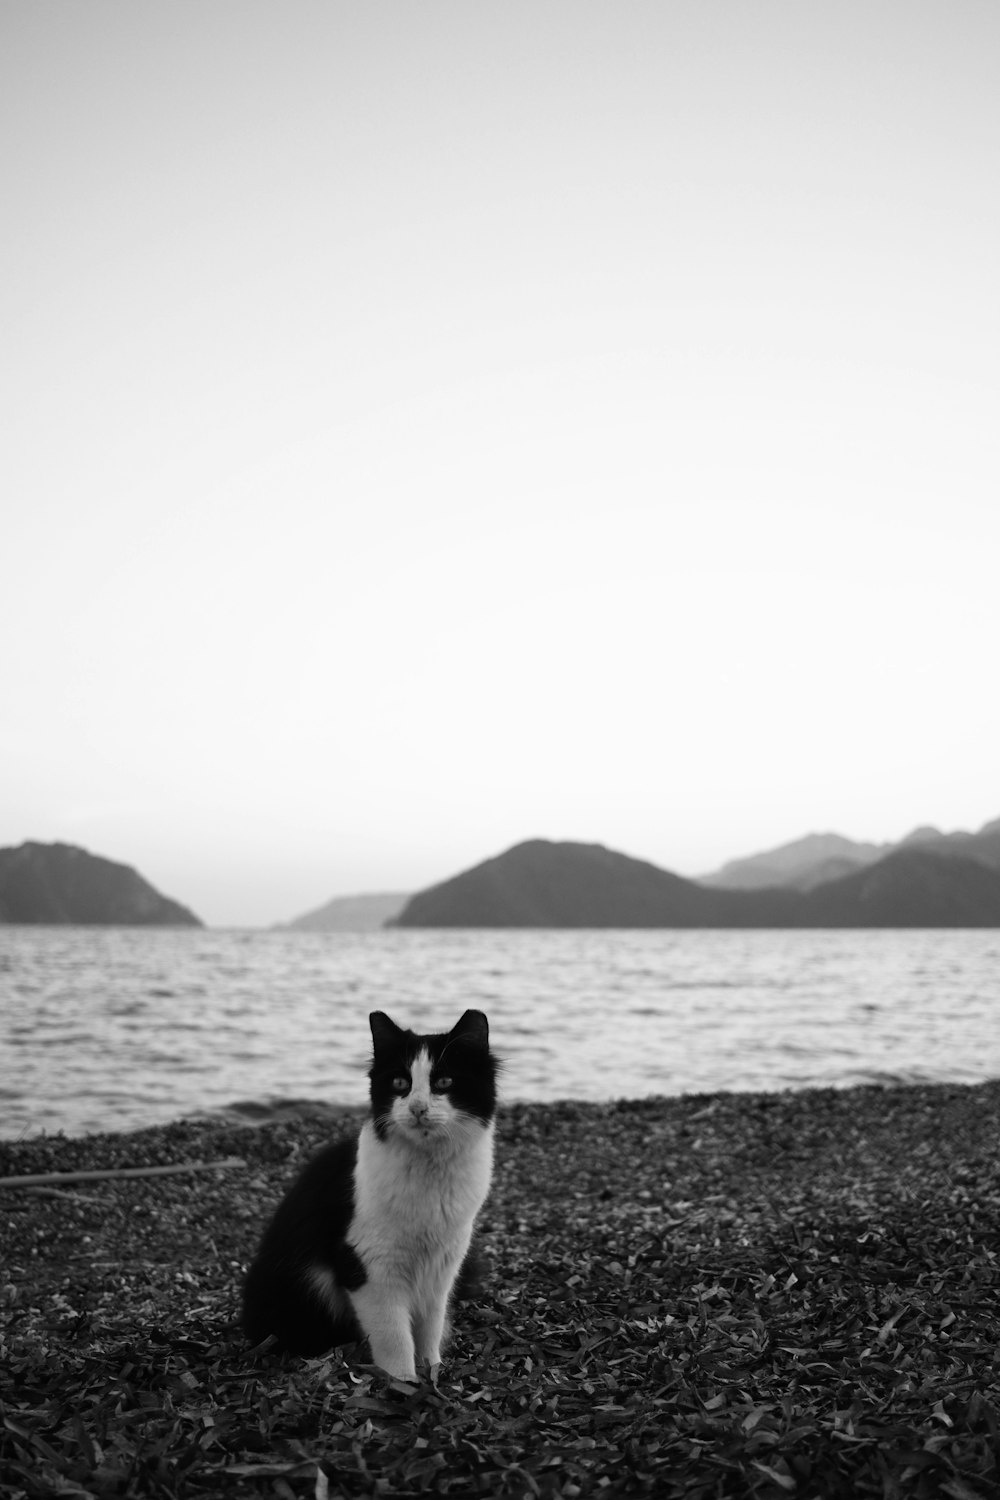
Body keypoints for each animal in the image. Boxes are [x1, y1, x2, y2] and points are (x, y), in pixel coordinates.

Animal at [242, 1008, 500, 1380]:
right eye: (400, 1084)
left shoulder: (442, 1266)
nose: (418, 1108)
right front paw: (404, 1381)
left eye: (444, 1082)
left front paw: (433, 1371)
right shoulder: (371, 1267)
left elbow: (430, 1327)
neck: (429, 1169)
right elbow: (395, 1336)